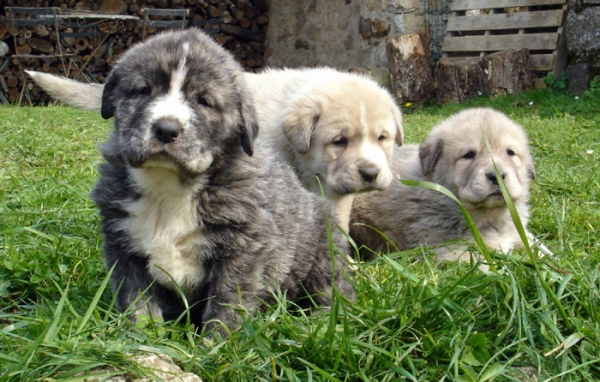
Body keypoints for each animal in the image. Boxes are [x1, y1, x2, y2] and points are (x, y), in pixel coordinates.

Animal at [88, 29, 352, 332]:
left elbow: (227, 303)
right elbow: (136, 300)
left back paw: (325, 322)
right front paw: (140, 336)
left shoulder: (243, 249)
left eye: (204, 101)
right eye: (144, 90)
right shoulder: (123, 245)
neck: (169, 186)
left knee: (333, 288)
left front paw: (217, 342)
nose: (166, 129)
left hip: (326, 247)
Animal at [350, 106, 536, 262]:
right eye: (469, 155)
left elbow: (534, 244)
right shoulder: (451, 249)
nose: (497, 175)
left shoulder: (518, 231)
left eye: (510, 152)